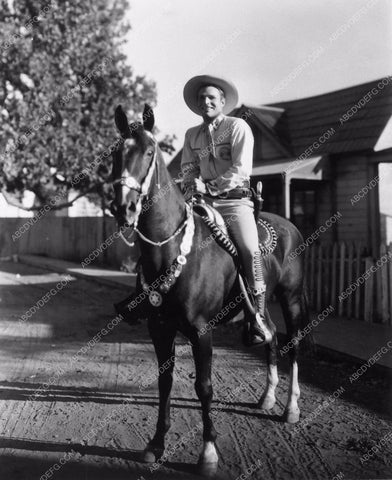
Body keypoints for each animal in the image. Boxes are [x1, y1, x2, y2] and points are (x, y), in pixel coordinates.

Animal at [111, 105, 312, 476]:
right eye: (115, 154)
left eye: (148, 152)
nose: (124, 208)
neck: (173, 248)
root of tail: (290, 226)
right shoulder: (159, 328)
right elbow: (164, 382)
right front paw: (156, 444)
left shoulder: (201, 331)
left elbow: (203, 387)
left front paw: (208, 453)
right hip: (262, 306)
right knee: (270, 335)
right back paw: (267, 397)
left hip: (291, 300)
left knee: (292, 345)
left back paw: (290, 408)